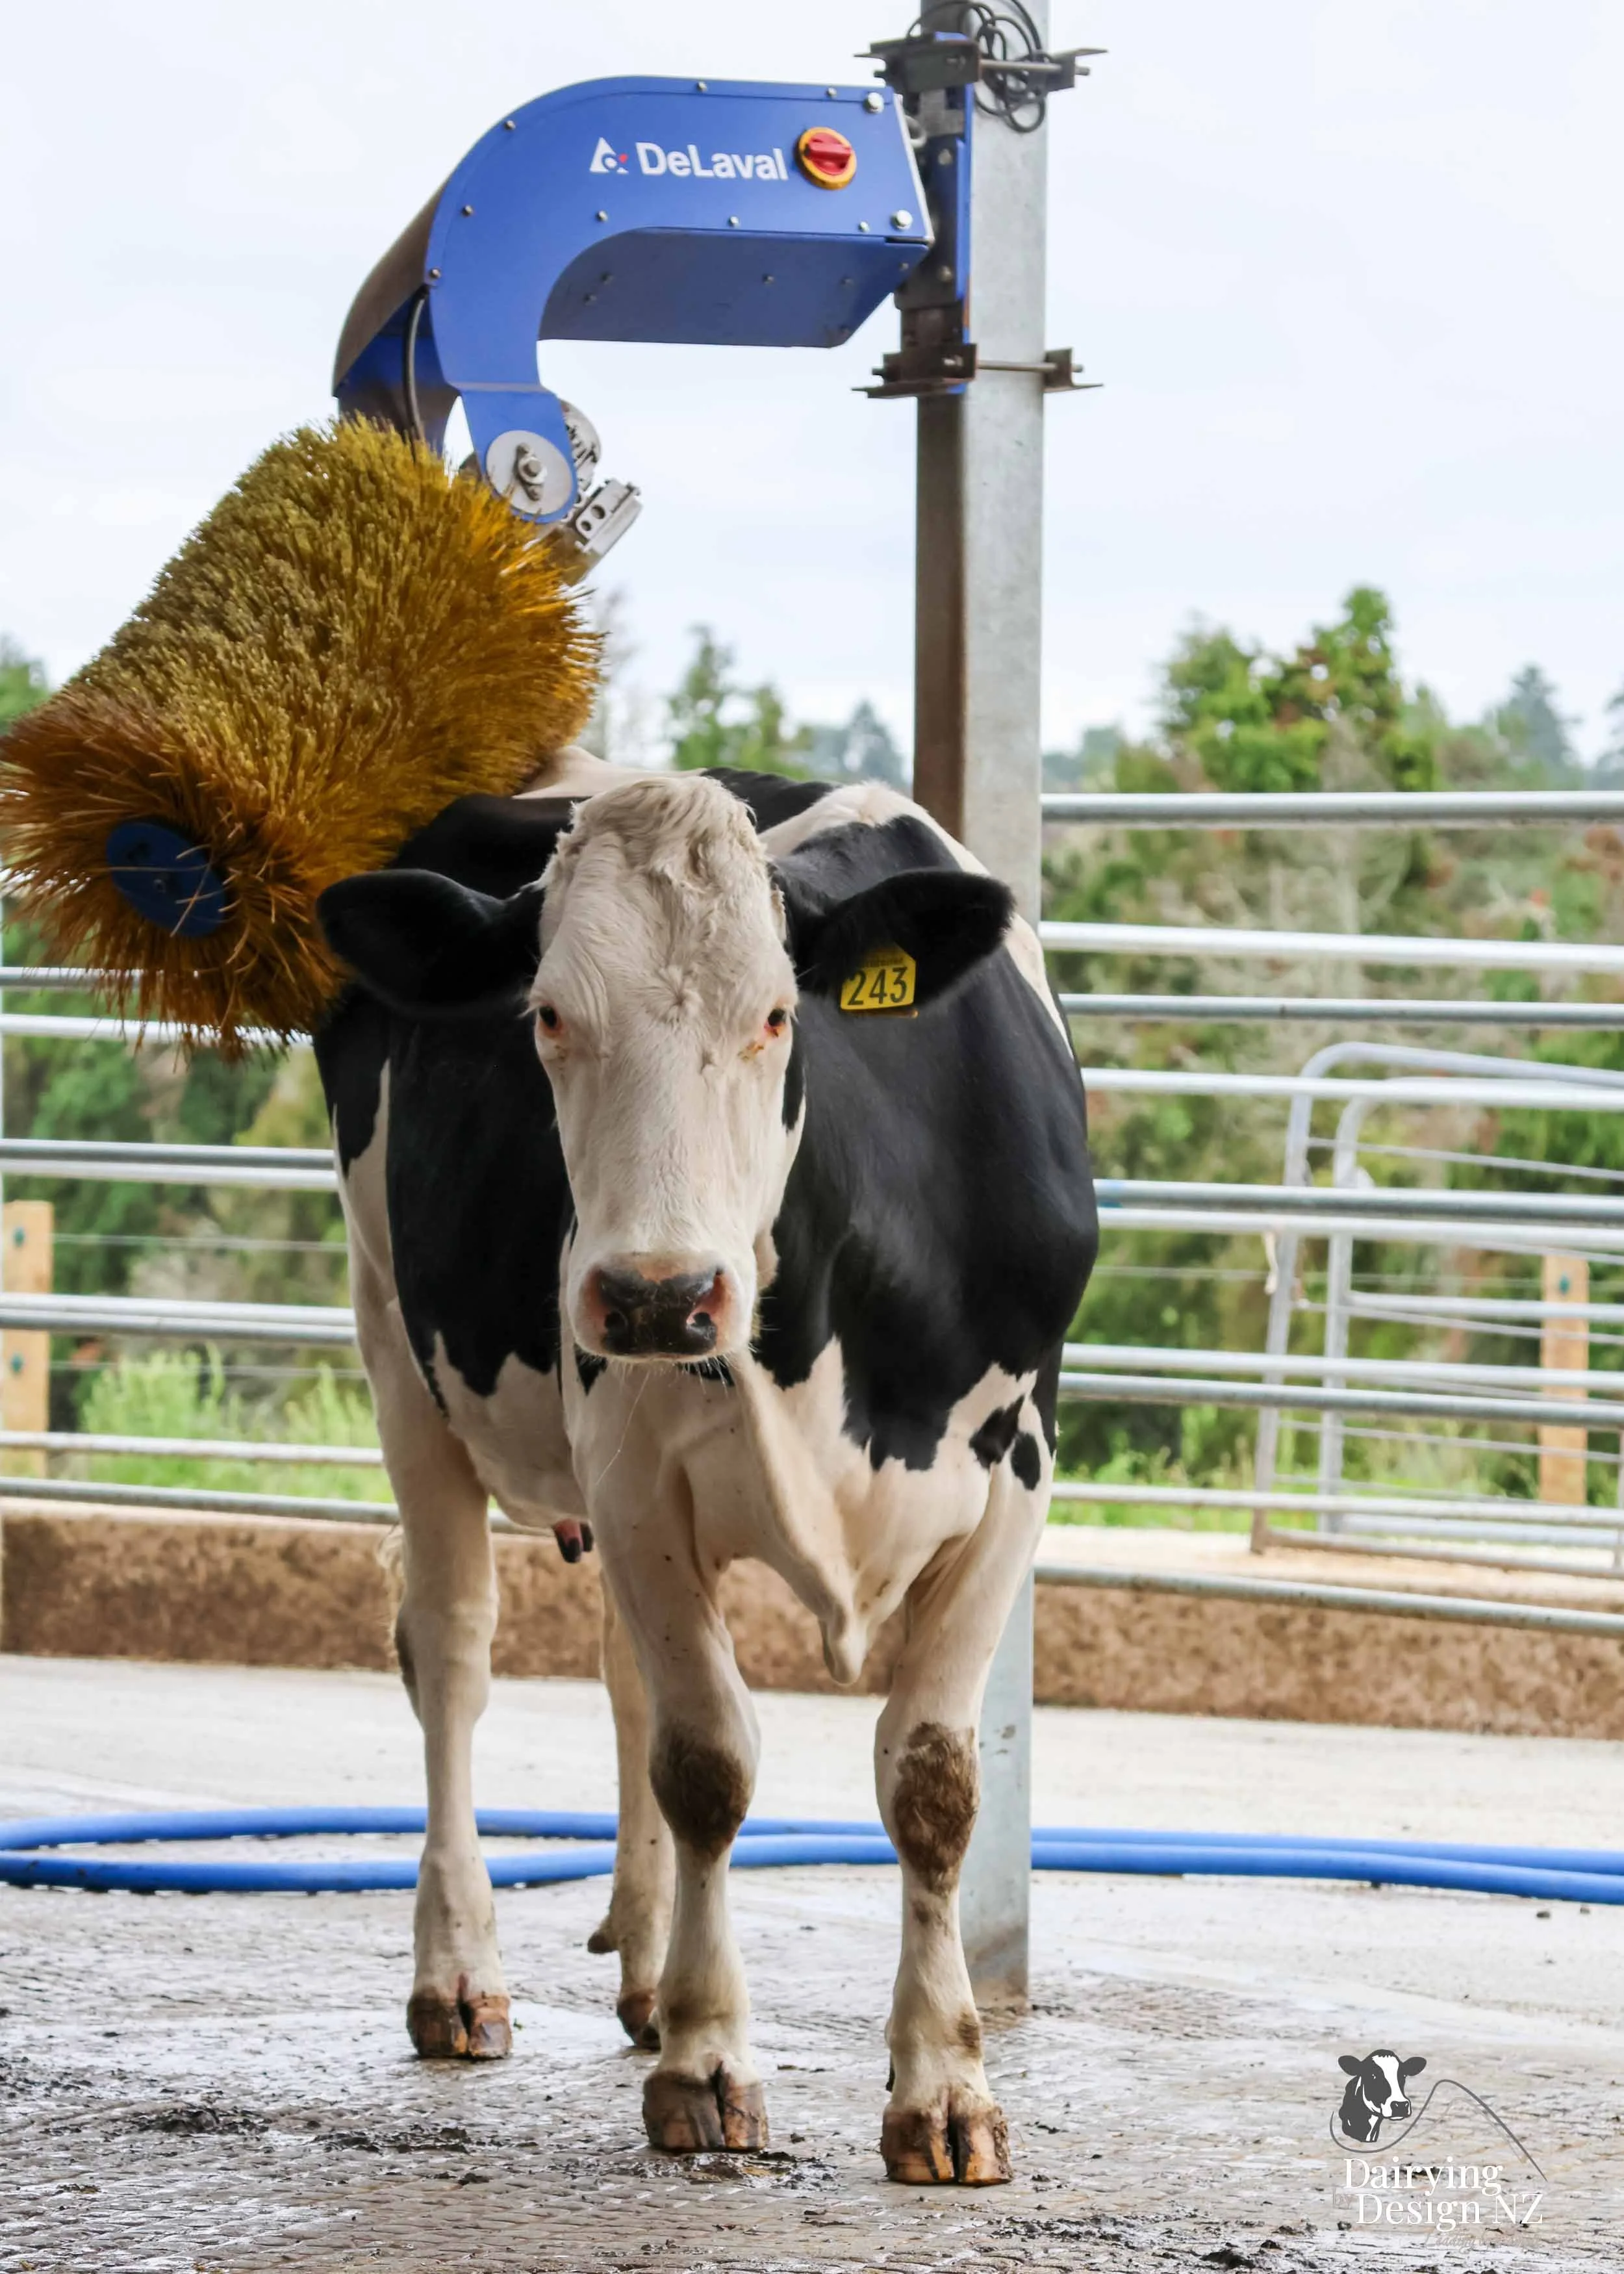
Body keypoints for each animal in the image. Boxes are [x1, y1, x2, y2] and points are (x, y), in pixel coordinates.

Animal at [313, 753, 1098, 2185]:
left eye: (777, 1015)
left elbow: (932, 1783)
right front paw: (708, 2064)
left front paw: (944, 2089)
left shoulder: (1017, 1471)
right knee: (451, 1652)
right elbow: (710, 1765)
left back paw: (643, 1969)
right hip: (395, 1342)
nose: (655, 1295)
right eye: (546, 1016)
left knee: (625, 1675)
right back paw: (461, 1977)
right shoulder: (629, 1465)